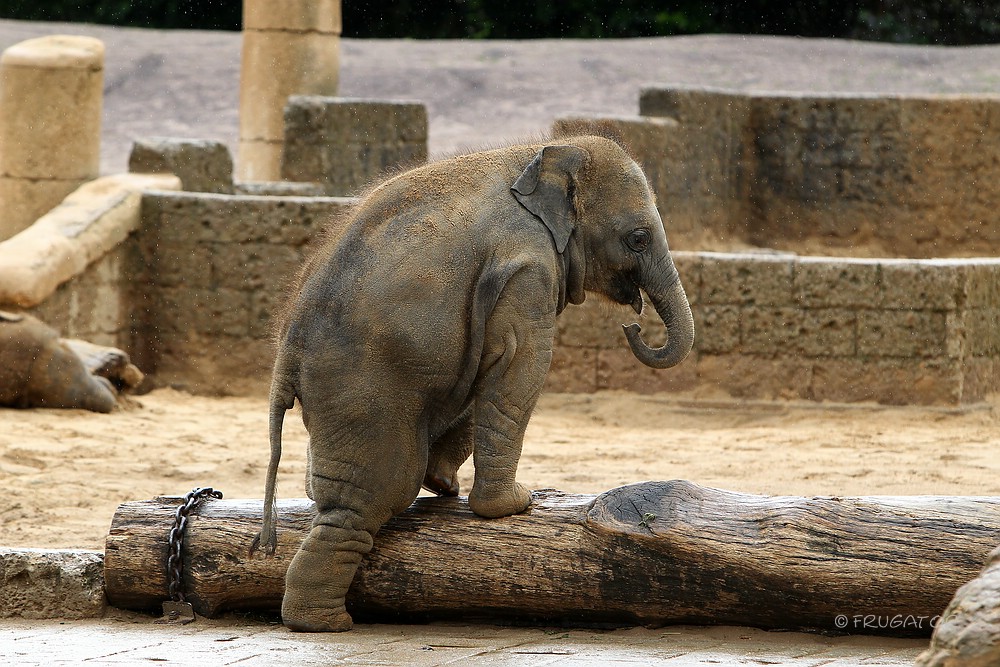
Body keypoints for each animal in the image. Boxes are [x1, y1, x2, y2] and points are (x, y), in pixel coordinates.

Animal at [252, 134, 696, 632]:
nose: (632, 326)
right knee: (369, 499)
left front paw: (445, 484)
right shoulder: (528, 269)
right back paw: (324, 623)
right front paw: (516, 504)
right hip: (359, 390)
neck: (542, 153)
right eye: (638, 238)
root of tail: (286, 354)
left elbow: (488, 373)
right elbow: (518, 366)